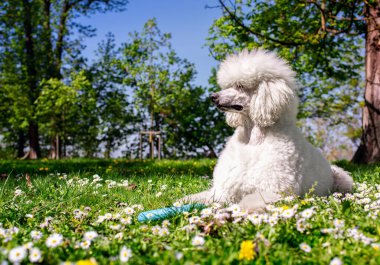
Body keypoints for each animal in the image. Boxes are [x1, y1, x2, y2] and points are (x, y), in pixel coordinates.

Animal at [181, 49, 354, 210]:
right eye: (228, 85)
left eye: (240, 85)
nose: (212, 97)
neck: (253, 141)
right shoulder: (225, 190)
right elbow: (199, 197)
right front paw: (184, 201)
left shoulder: (275, 190)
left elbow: (249, 201)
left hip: (343, 180)